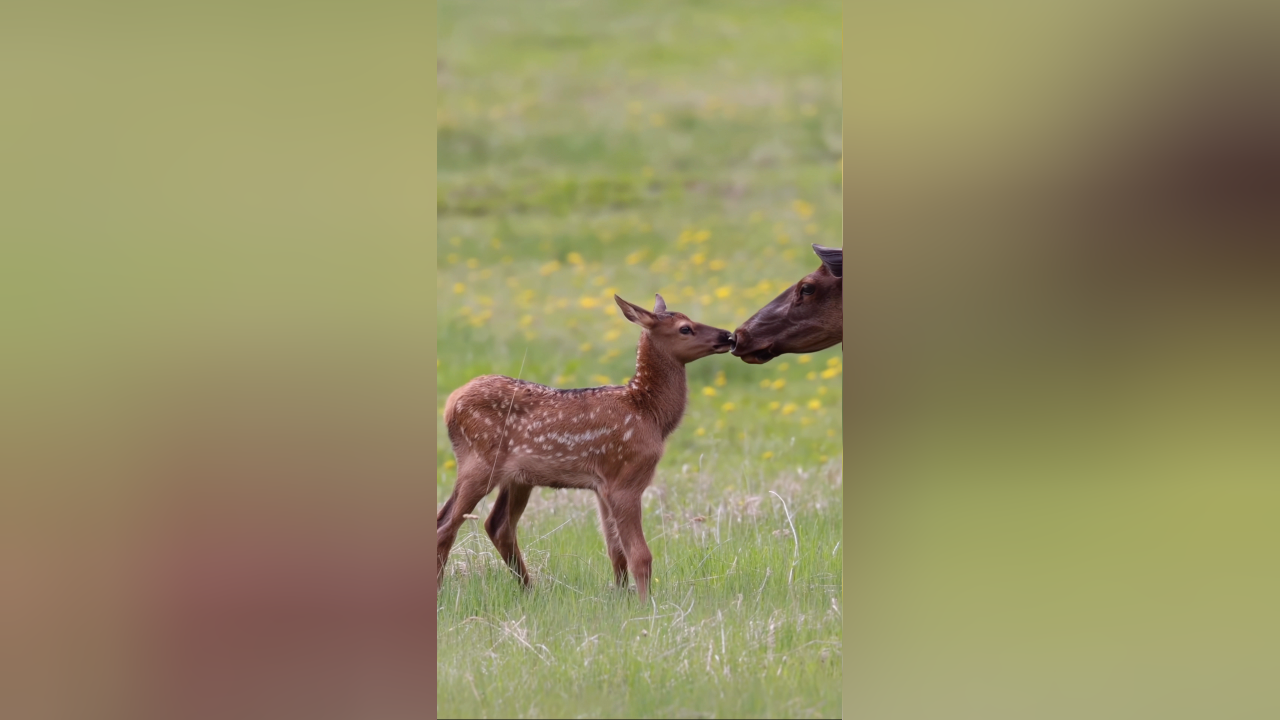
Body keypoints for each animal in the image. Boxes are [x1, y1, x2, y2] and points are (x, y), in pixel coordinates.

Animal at [437, 294, 734, 604]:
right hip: (480, 461)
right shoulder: (627, 478)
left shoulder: (603, 485)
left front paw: (621, 597)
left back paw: (530, 591)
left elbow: (616, 551)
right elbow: (640, 555)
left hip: (517, 477)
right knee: (446, 526)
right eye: (685, 328)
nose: (728, 335)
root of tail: (450, 404)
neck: (650, 414)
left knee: (497, 525)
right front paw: (645, 604)